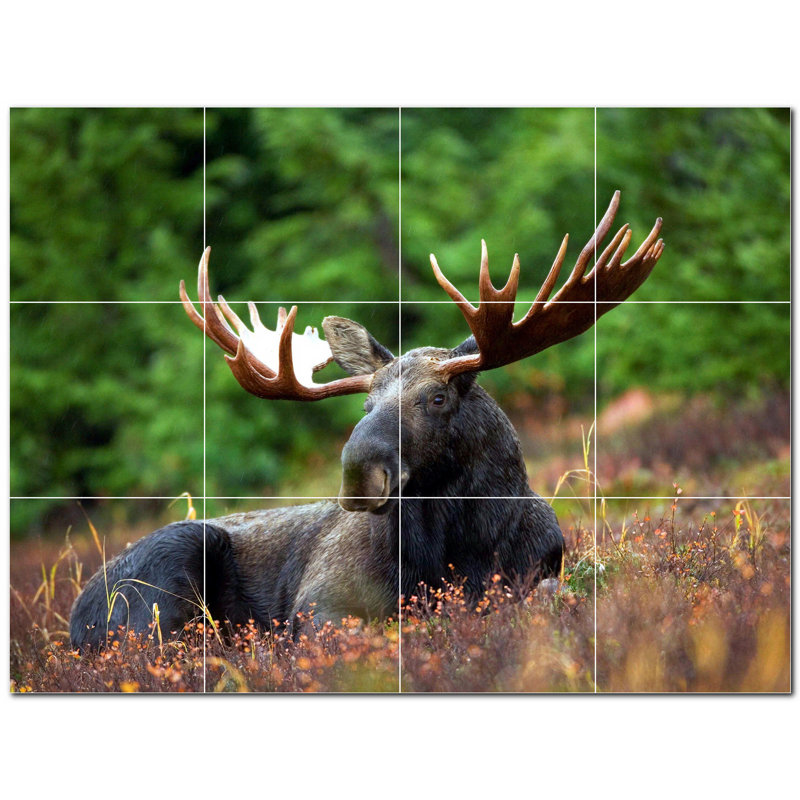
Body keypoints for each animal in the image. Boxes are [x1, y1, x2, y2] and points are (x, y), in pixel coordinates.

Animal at [70, 191, 663, 650]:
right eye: (365, 405)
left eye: (437, 398)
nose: (358, 474)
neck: (461, 547)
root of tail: (74, 619)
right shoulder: (320, 602)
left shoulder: (540, 571)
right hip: (166, 576)